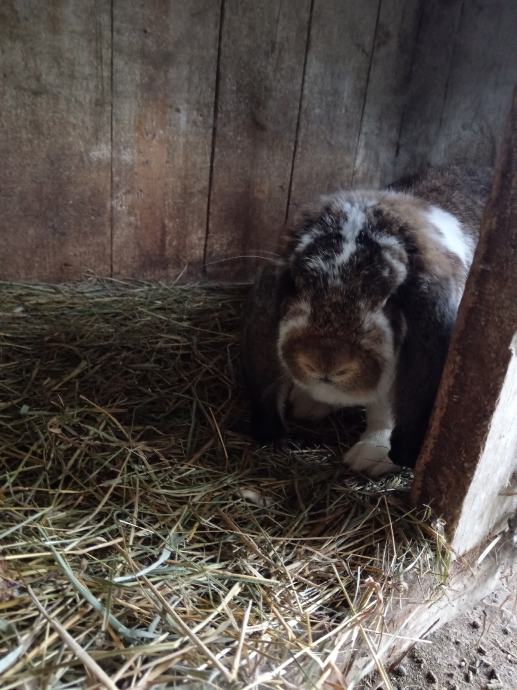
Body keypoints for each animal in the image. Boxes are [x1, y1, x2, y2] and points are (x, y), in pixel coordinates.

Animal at [241, 166, 492, 476]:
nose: (325, 360)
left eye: (391, 298)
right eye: (297, 284)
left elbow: (385, 414)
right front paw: (307, 405)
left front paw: (370, 457)